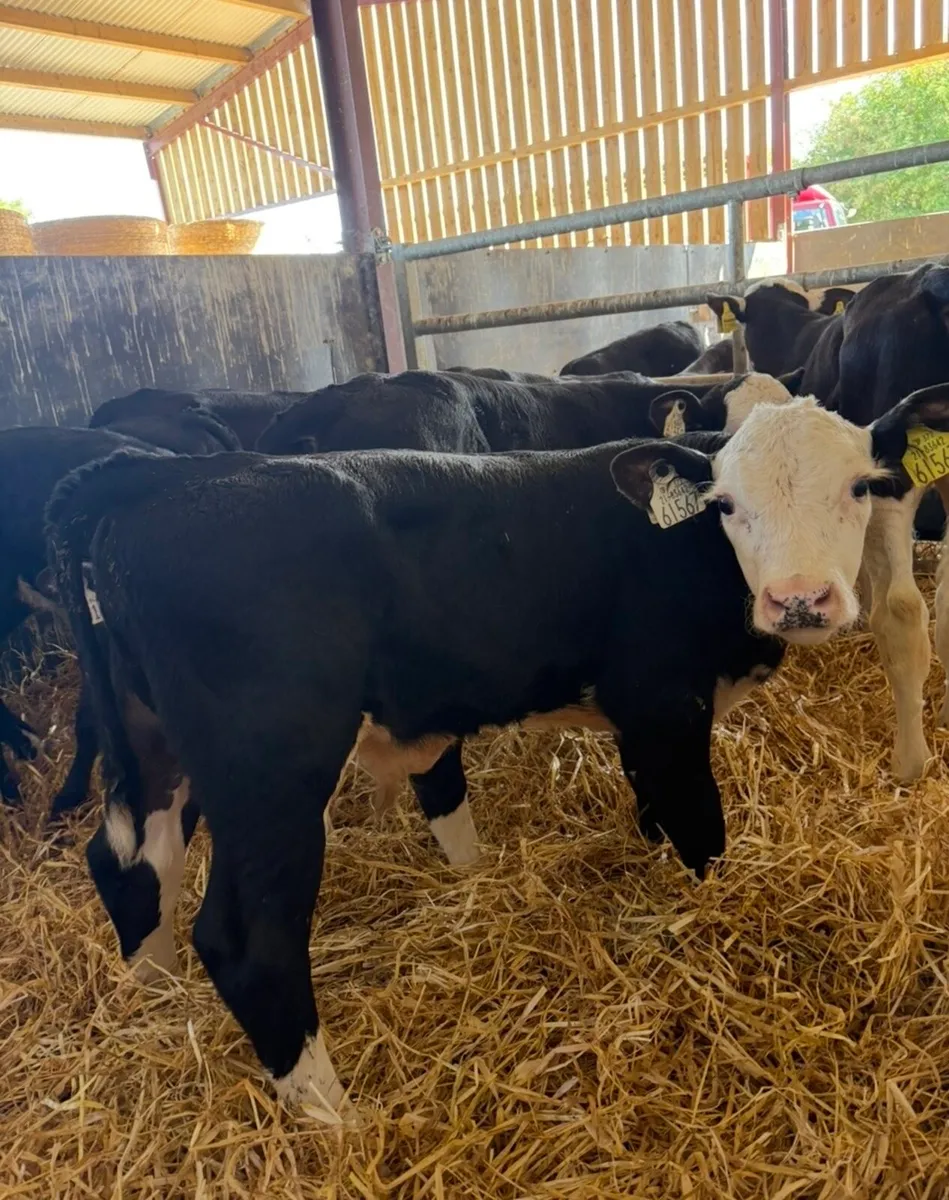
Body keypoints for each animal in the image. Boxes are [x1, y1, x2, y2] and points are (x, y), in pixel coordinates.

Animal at [47, 389, 935, 1114]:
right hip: (269, 771)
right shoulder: (664, 705)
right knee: (246, 943)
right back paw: (334, 1118)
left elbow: (650, 808)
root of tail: (159, 479)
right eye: (723, 503)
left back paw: (157, 999)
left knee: (127, 863)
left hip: (154, 747)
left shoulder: (638, 723)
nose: (799, 600)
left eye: (859, 486)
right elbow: (697, 829)